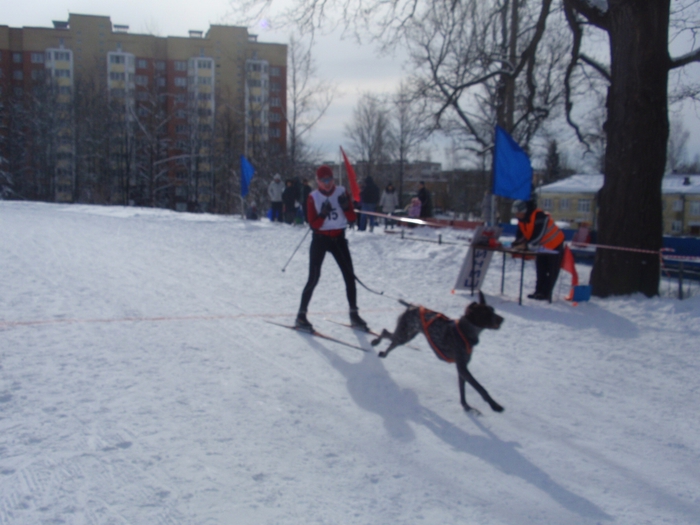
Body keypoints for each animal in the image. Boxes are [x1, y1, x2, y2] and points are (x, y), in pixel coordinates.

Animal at [372, 290, 504, 414]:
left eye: (492, 310)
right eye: (486, 313)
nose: (502, 319)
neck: (465, 332)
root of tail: (412, 306)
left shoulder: (461, 368)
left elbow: (463, 391)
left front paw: (466, 406)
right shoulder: (462, 367)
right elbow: (480, 388)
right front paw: (495, 405)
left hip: (407, 335)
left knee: (390, 339)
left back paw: (383, 352)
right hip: (404, 334)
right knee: (385, 333)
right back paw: (376, 342)